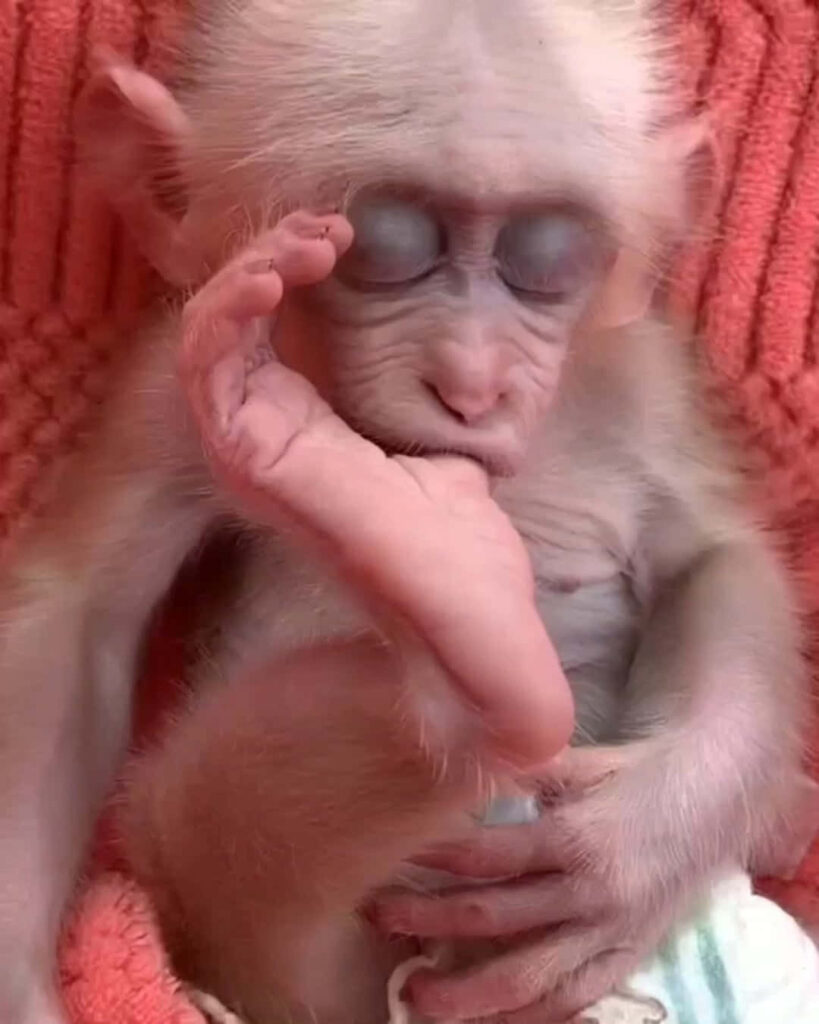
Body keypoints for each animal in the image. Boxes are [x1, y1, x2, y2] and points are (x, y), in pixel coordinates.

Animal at [0, 1, 813, 1022]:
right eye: (384, 247)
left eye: (546, 260)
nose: (471, 381)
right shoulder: (171, 377)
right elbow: (78, 618)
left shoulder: (642, 374)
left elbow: (714, 557)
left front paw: (639, 847)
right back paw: (457, 648)